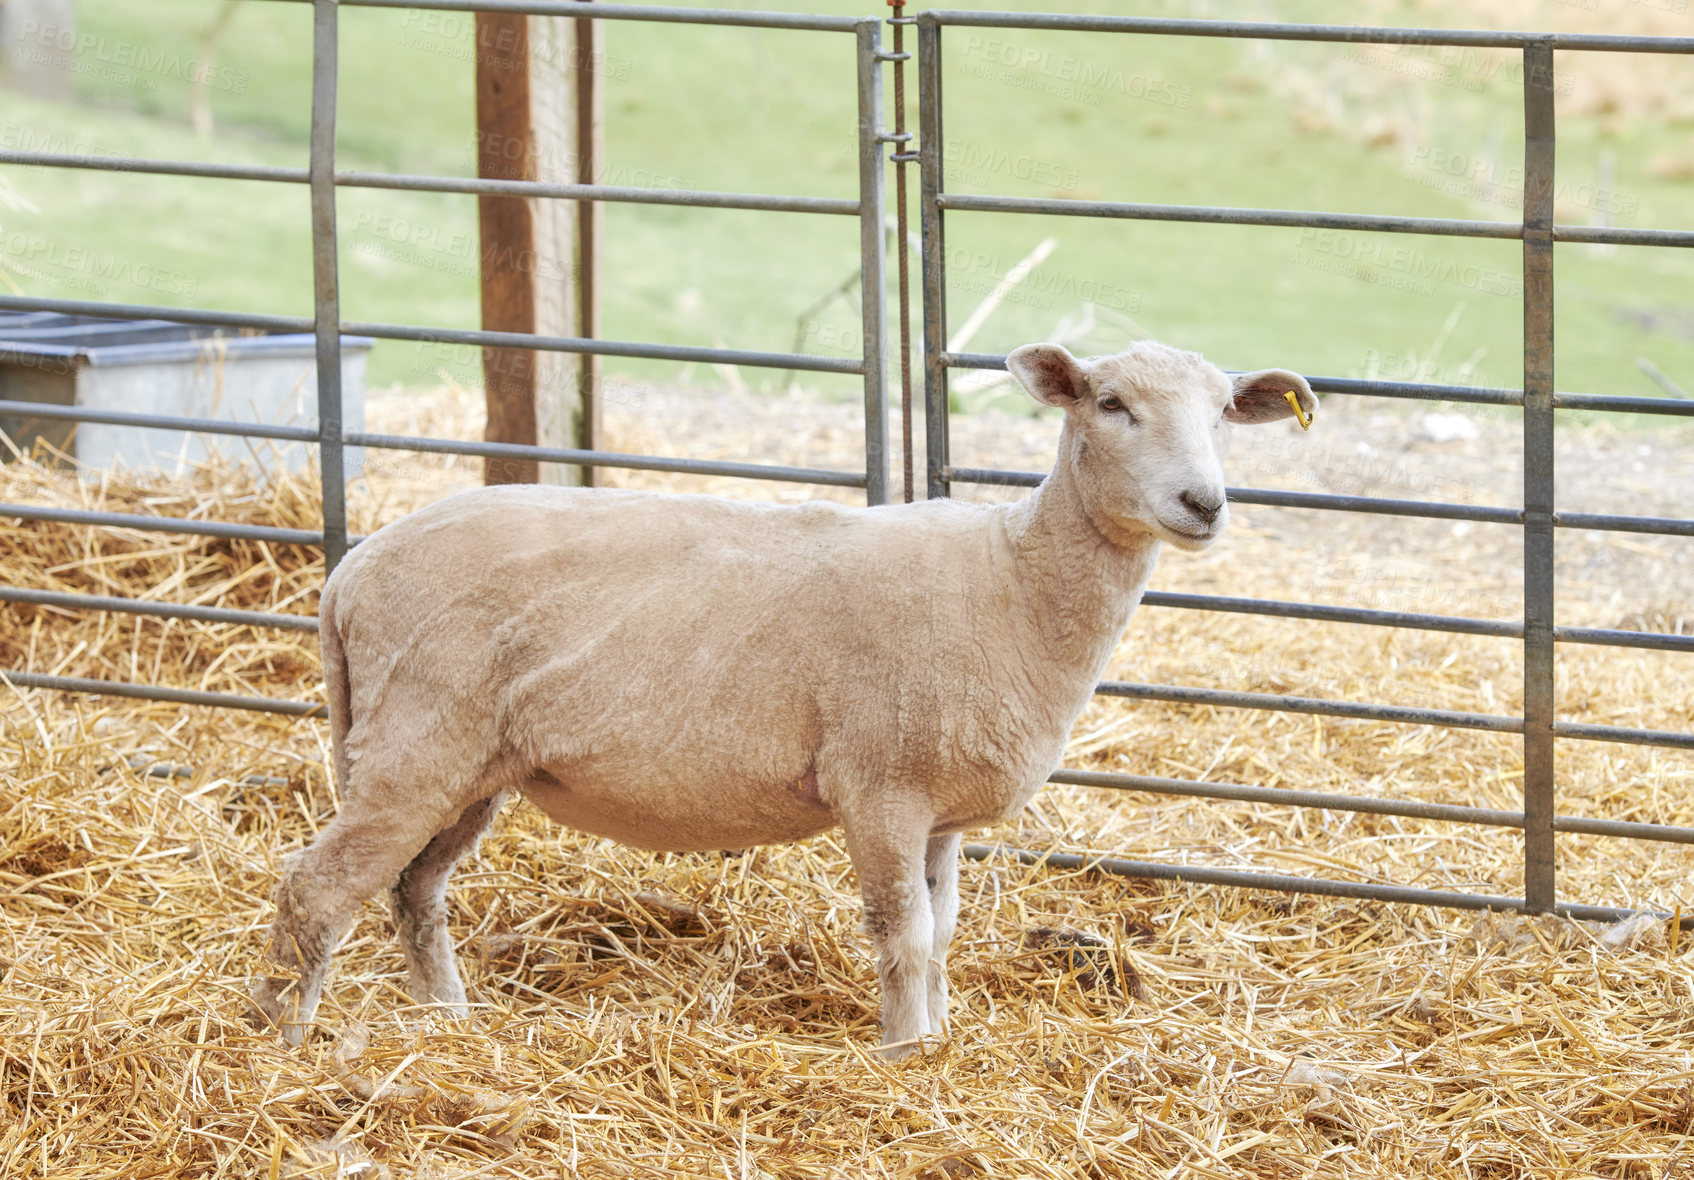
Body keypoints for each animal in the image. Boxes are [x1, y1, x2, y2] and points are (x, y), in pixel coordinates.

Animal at [250, 335, 1314, 1056]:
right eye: (1110, 402)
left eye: (1224, 412)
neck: (1011, 581)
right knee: (317, 887)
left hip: (472, 761)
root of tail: (350, 572)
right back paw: (281, 1044)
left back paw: (446, 1019)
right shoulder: (880, 787)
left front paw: (934, 1039)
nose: (1204, 504)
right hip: (416, 741)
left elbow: (942, 933)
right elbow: (901, 934)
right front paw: (902, 1053)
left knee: (413, 886)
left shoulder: (939, 814)